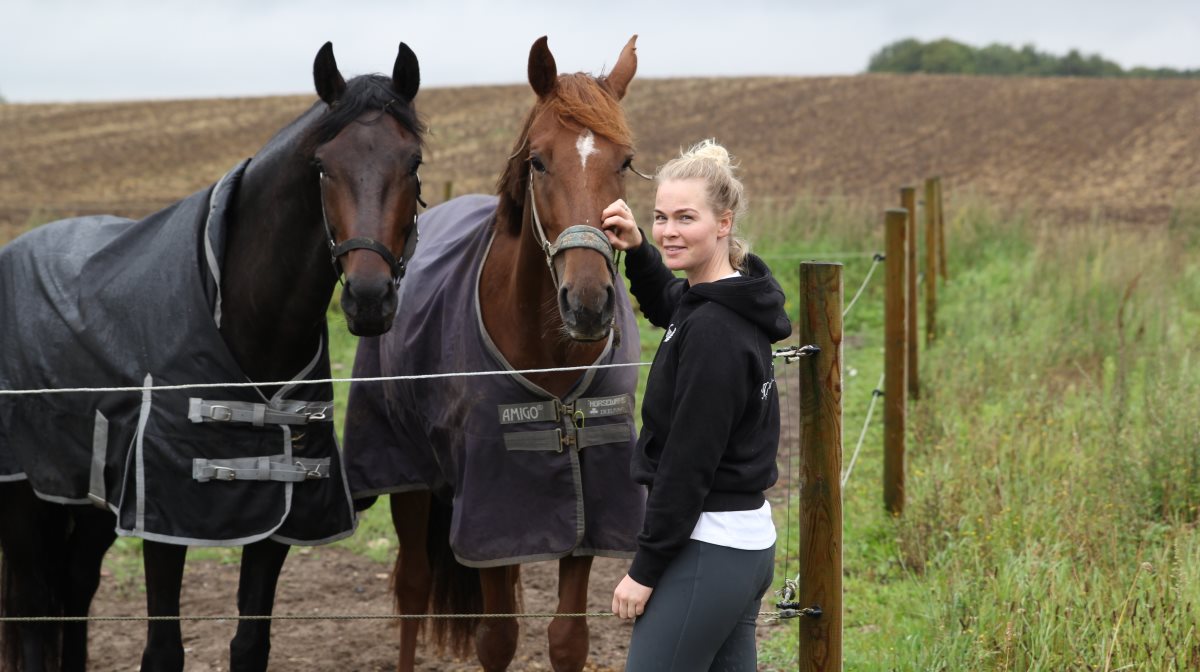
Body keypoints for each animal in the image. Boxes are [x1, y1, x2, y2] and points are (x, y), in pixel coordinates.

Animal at [0, 42, 429, 672]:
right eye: (323, 166)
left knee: (74, 591)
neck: (253, 328)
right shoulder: (168, 519)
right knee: (33, 610)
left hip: (87, 501)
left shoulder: (280, 518)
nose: (369, 298)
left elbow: (251, 644)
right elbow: (163, 651)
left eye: (413, 163)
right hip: (25, 497)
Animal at [343, 35, 648, 672]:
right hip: (409, 477)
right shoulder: (490, 505)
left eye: (625, 161)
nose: (588, 303)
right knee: (412, 588)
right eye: (538, 160)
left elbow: (567, 640)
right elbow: (496, 639)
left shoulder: (584, 502)